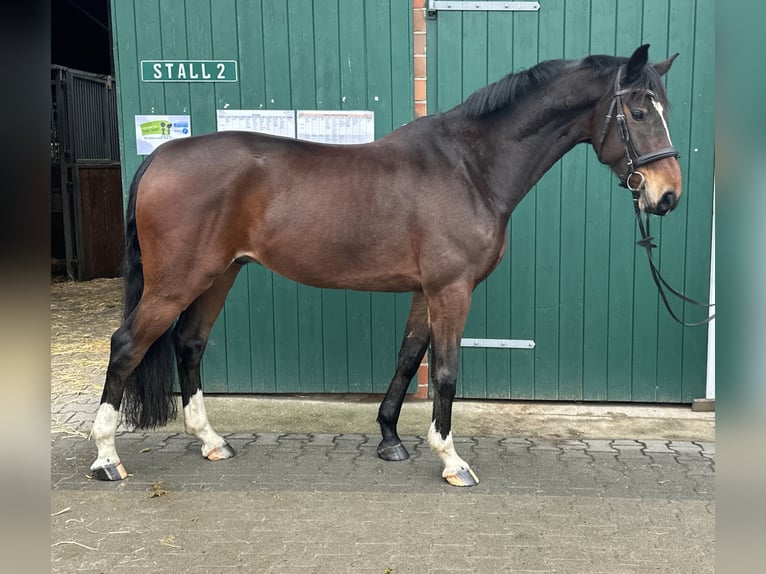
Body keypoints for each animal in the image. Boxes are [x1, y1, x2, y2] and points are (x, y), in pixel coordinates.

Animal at [91, 45, 684, 488]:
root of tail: (161, 155)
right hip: (177, 281)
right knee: (127, 345)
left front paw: (390, 440)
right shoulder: (452, 290)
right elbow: (444, 372)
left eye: (665, 110)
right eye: (638, 112)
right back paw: (106, 459)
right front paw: (452, 460)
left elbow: (407, 358)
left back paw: (211, 442)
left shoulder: (426, 291)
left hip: (220, 275)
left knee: (189, 344)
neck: (470, 168)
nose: (667, 196)